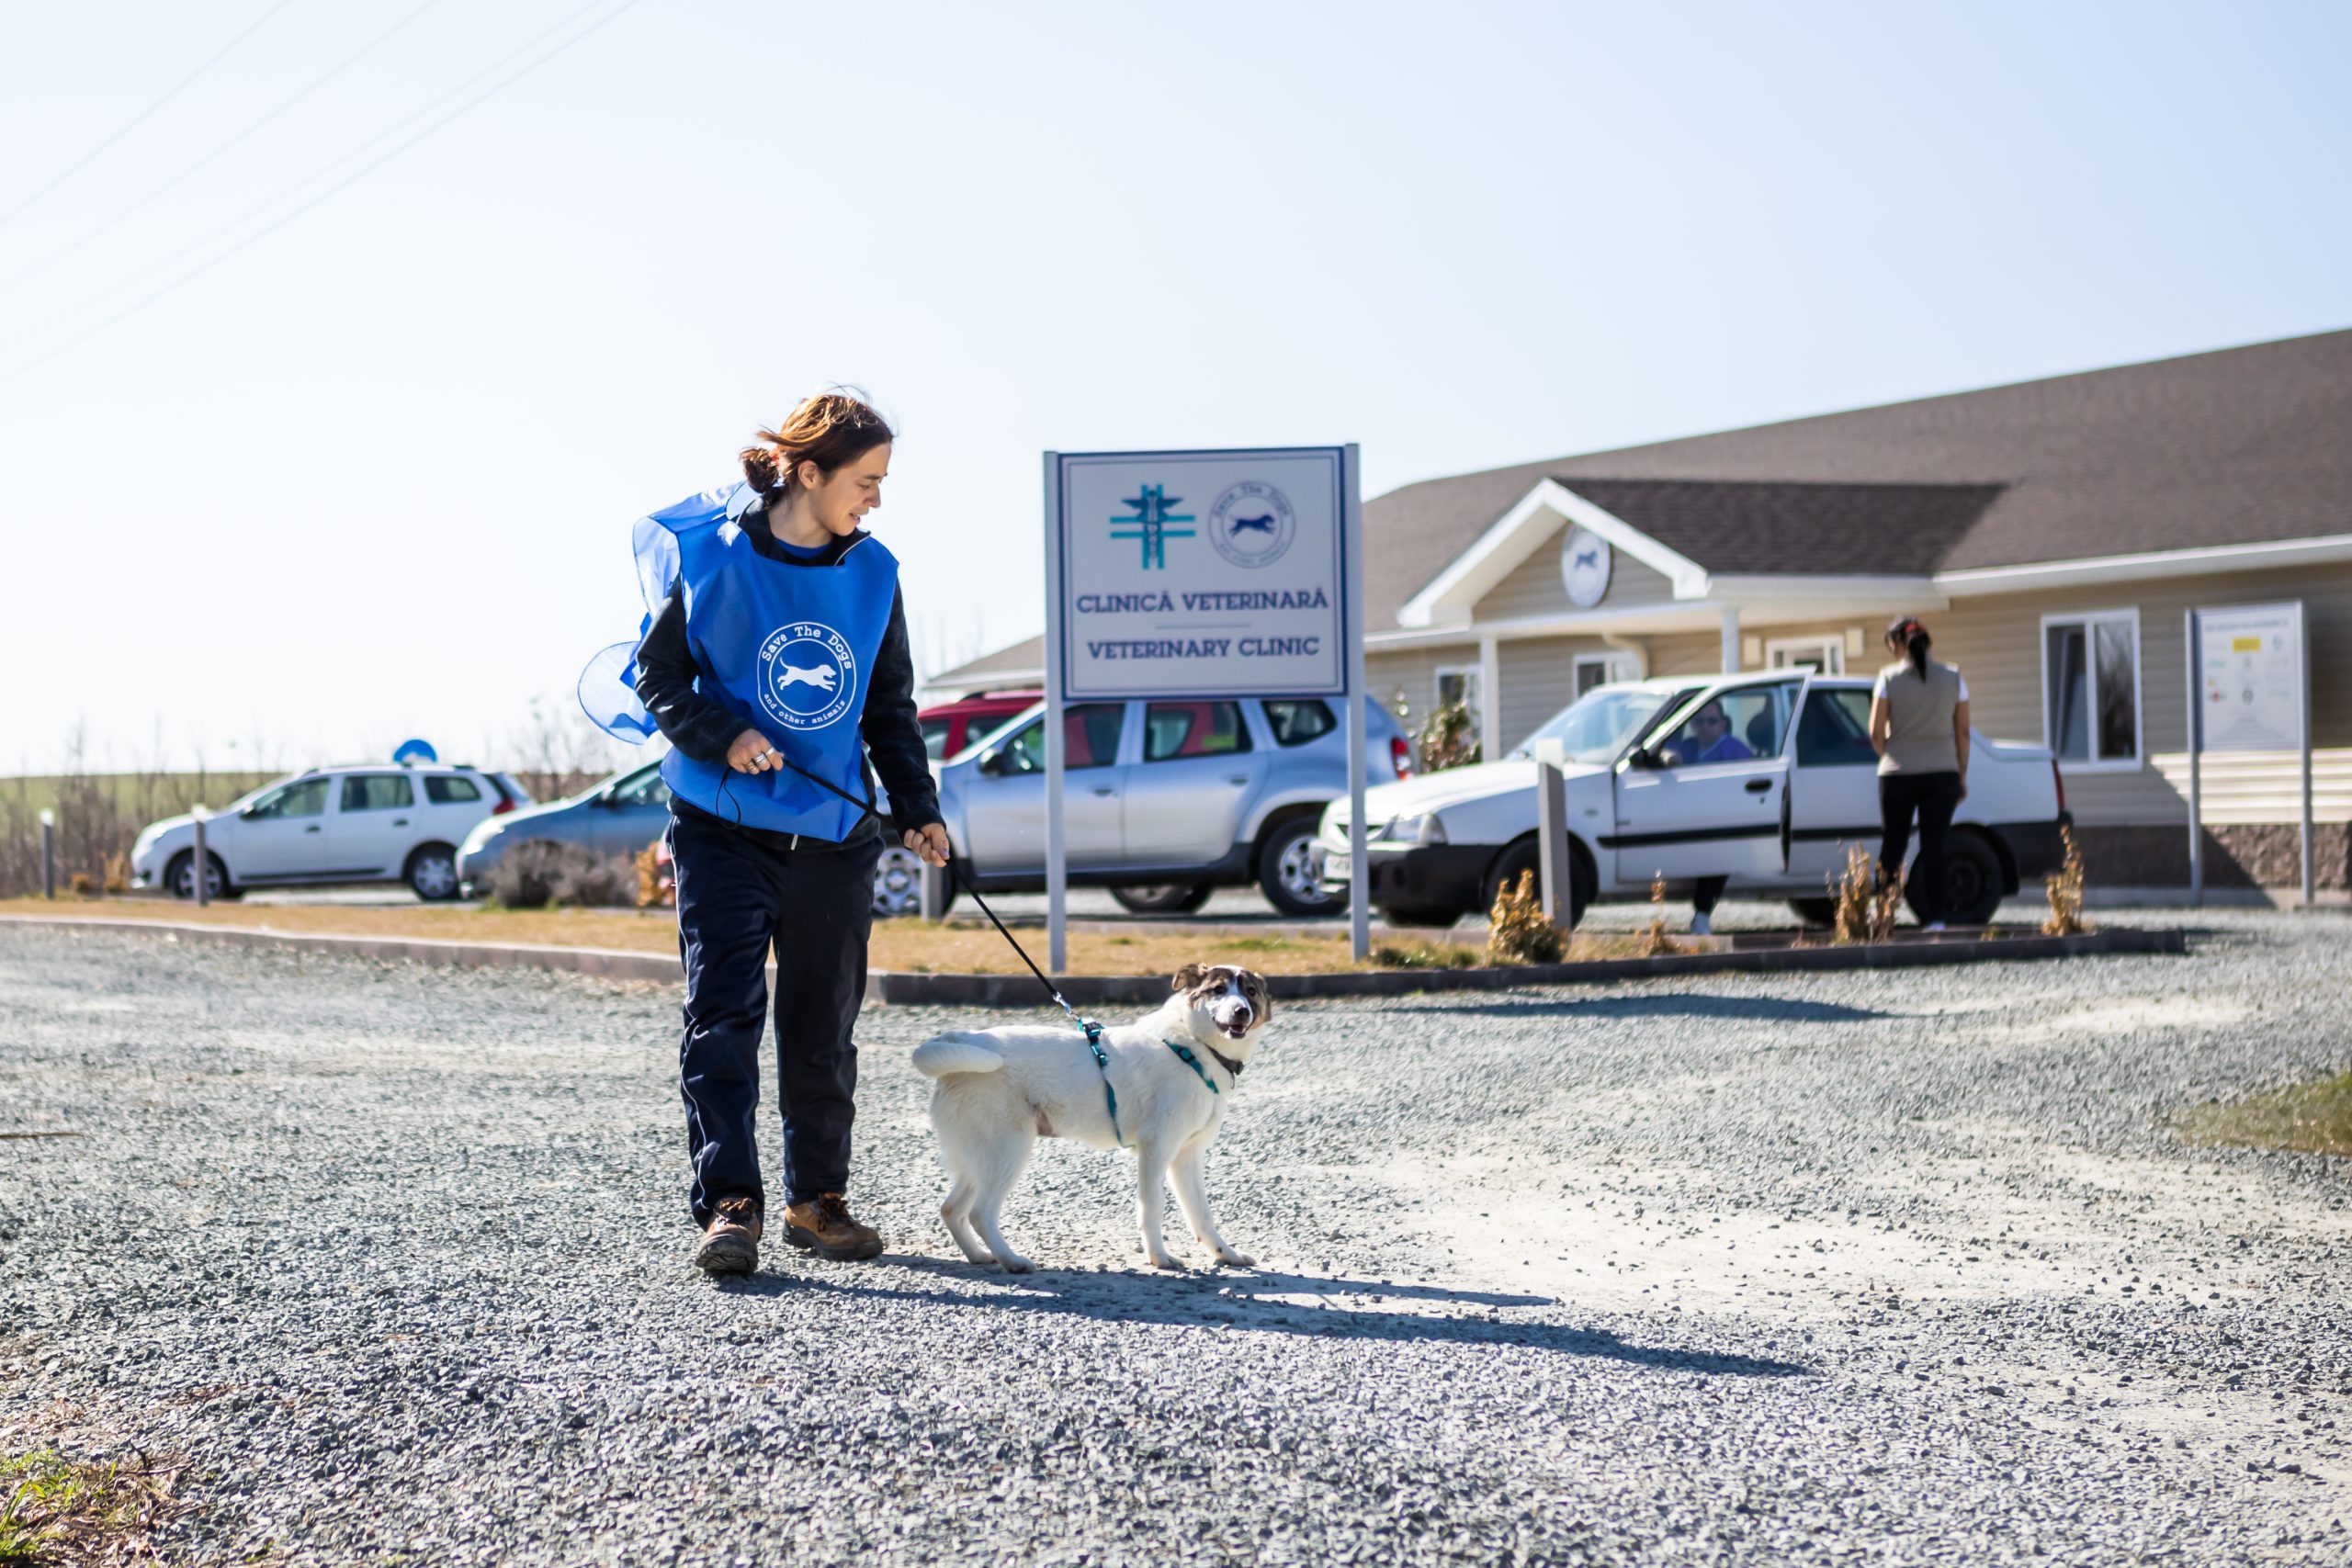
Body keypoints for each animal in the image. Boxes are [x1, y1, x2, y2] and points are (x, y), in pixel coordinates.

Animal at [903, 959, 1270, 1279]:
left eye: (1250, 991)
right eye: (1218, 990)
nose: (1241, 1011)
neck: (1192, 1046)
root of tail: (963, 1038)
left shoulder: (1187, 1157)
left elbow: (1202, 1216)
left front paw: (1226, 1254)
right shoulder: (1157, 1151)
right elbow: (1152, 1208)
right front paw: (1159, 1257)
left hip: (978, 1158)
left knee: (951, 1209)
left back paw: (979, 1256)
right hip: (1008, 1150)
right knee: (980, 1212)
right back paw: (1013, 1261)